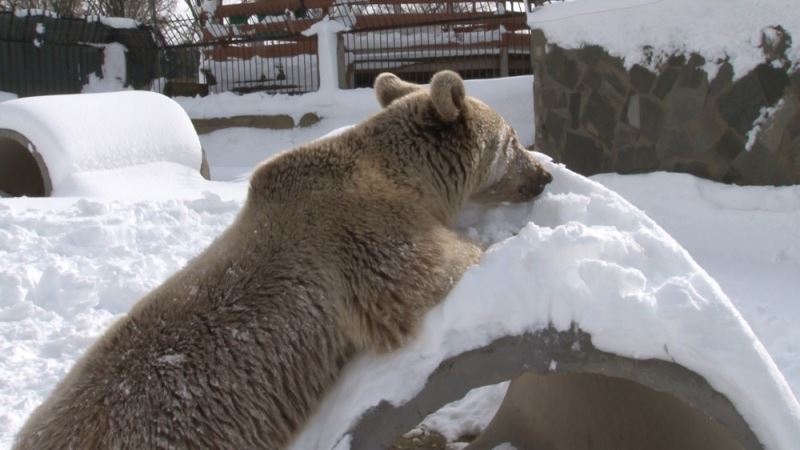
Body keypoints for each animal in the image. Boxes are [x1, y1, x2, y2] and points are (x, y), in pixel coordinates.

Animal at [14, 70, 552, 450]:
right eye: (512, 139)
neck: (406, 178)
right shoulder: (366, 240)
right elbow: (427, 271)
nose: (543, 175)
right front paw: (507, 238)